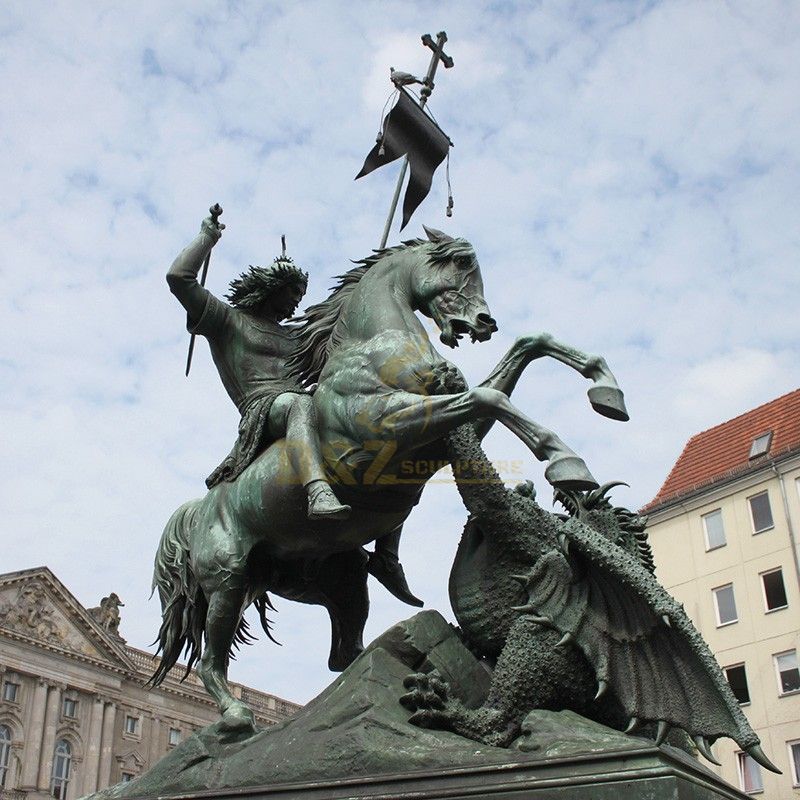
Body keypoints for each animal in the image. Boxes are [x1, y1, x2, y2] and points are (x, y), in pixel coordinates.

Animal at [148, 227, 624, 732]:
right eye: (460, 263)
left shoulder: (442, 436)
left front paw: (604, 386)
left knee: (343, 655)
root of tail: (196, 512)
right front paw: (565, 460)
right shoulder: (388, 425)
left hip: (331, 579)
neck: (375, 348)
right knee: (210, 660)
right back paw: (238, 715)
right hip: (227, 578)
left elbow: (523, 352)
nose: (483, 322)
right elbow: (491, 396)